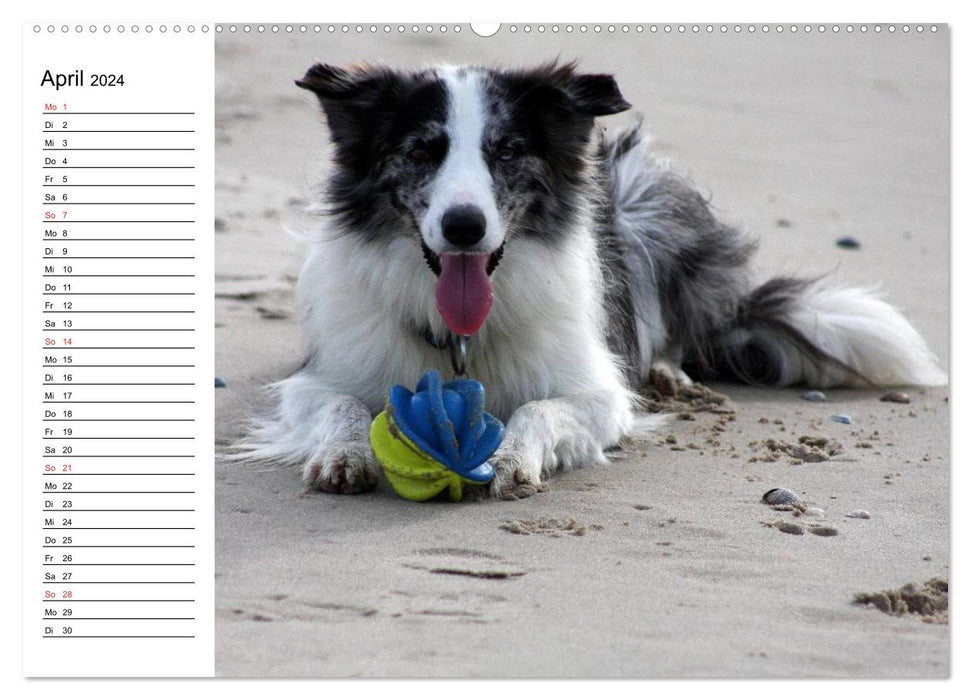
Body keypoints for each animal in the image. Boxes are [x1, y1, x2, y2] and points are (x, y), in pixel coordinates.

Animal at [239, 61, 944, 498]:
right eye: (420, 151)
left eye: (507, 151)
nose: (465, 227)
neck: (463, 336)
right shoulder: (316, 377)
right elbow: (342, 403)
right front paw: (344, 455)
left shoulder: (600, 395)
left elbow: (541, 407)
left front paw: (514, 458)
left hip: (648, 200)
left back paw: (669, 371)